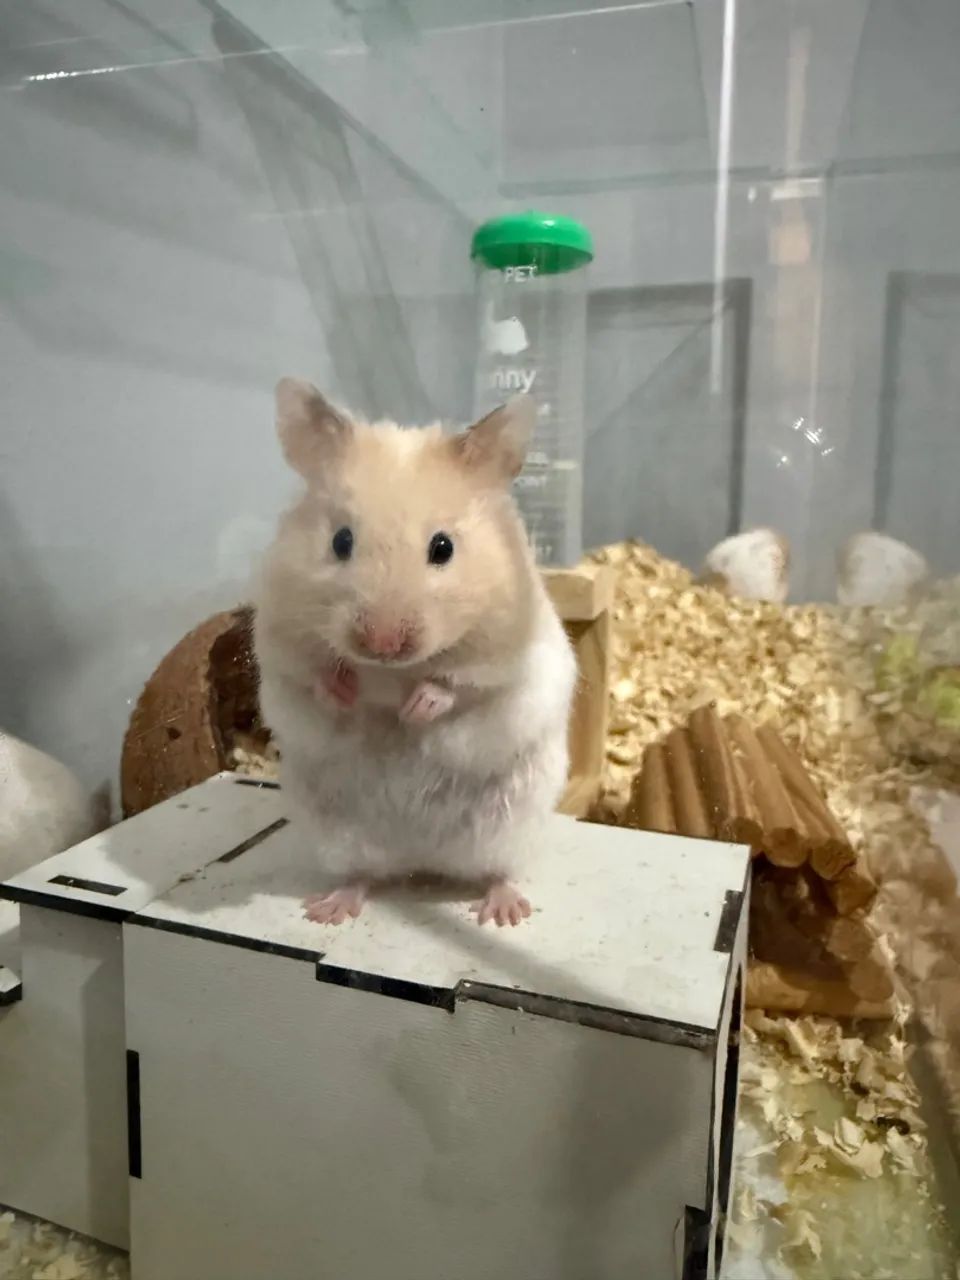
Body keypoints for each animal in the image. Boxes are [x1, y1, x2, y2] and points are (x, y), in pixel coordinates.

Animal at [255, 379, 577, 927]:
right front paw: (347, 691)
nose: (382, 644)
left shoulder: (511, 664)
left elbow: (461, 688)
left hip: (512, 824)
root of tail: (422, 862)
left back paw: (503, 912)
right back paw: (329, 910)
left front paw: (415, 708)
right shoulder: (279, 658)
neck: (391, 673)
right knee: (362, 875)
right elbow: (311, 680)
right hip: (339, 836)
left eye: (443, 547)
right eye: (341, 540)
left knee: (497, 871)